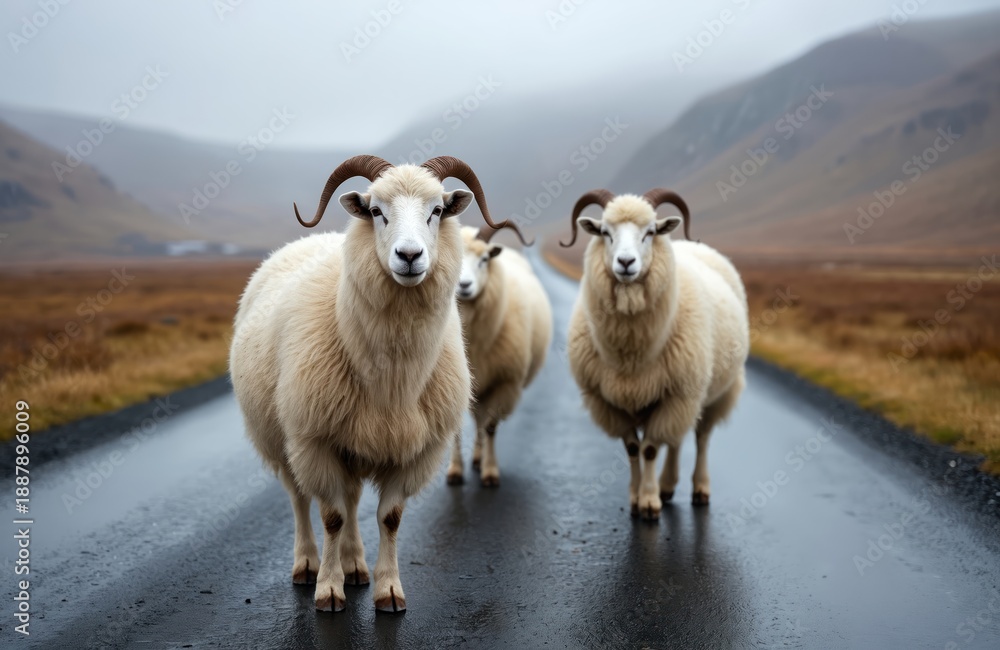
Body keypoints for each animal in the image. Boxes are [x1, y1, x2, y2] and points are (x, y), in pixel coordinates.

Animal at [229, 155, 513, 613]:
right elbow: (330, 516)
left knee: (351, 499)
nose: (409, 255)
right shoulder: (316, 440)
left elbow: (388, 518)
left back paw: (356, 565)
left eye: (437, 211)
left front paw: (388, 589)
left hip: (355, 443)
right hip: (279, 436)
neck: (391, 377)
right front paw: (328, 590)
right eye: (377, 211)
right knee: (300, 498)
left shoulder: (409, 448)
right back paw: (307, 563)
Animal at [446, 224, 553, 487]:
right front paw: (455, 471)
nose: (464, 285)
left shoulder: (505, 382)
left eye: (484, 259)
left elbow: (491, 427)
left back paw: (479, 458)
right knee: (477, 418)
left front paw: (490, 472)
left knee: (482, 421)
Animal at [561, 188, 749, 519]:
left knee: (701, 438)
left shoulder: (677, 394)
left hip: (712, 394)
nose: (625, 262)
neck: (631, 352)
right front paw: (637, 497)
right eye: (605, 233)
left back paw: (700, 488)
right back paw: (668, 485)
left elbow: (649, 448)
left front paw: (649, 502)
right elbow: (635, 449)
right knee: (675, 440)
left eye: (649, 232)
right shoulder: (610, 402)